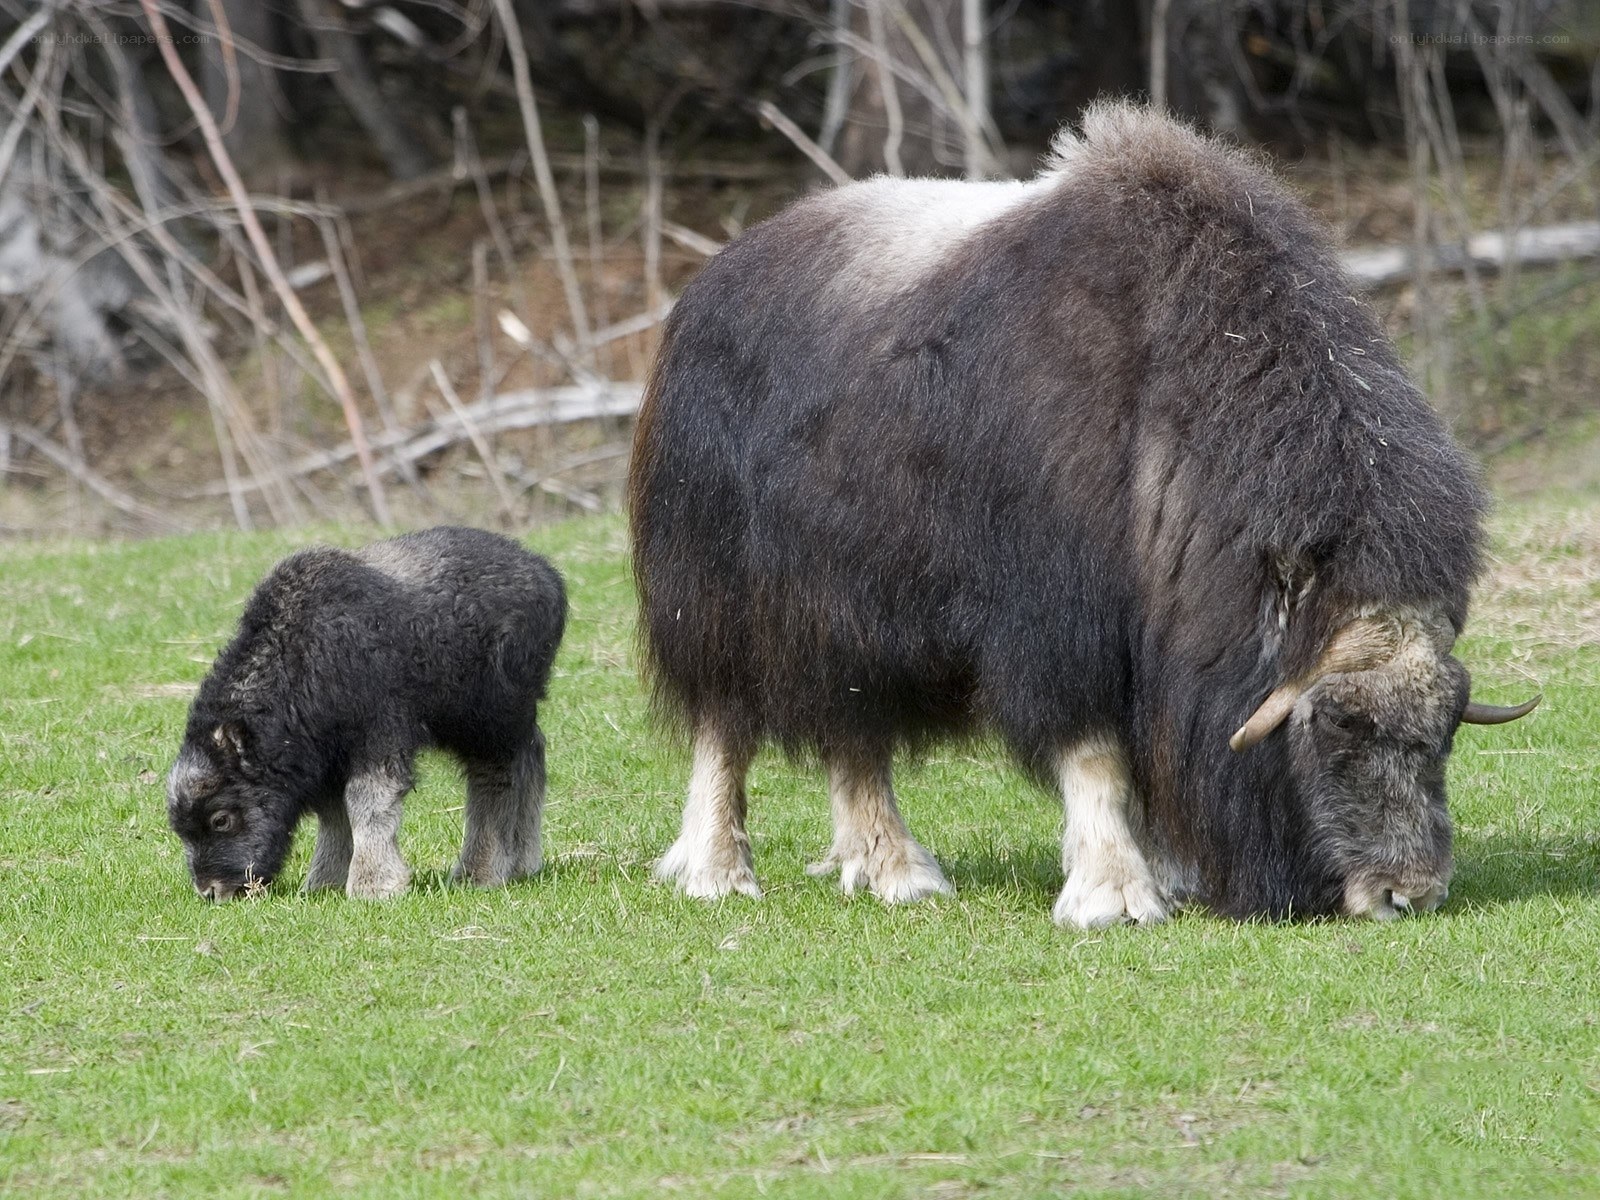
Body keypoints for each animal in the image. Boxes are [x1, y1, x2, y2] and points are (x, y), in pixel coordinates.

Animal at [166, 527, 566, 901]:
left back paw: (479, 873)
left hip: (488, 718)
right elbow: (333, 814)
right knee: (531, 754)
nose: (212, 891)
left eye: (221, 819)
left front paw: (373, 885)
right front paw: (323, 883)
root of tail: (545, 573)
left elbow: (366, 802)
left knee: (497, 777)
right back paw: (523, 863)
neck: (302, 658)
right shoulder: (326, 758)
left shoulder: (380, 735)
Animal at [626, 102, 1538, 926]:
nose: (1408, 894)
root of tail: (705, 286)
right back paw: (719, 873)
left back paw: (895, 874)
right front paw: (1116, 897)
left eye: (1447, 730)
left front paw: (1172, 876)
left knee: (855, 730)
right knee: (724, 724)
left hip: (852, 612)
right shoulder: (1059, 623)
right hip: (717, 592)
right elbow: (1095, 753)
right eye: (1339, 724)